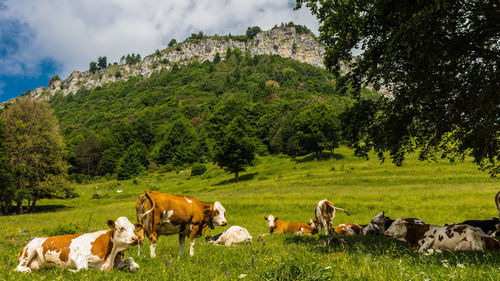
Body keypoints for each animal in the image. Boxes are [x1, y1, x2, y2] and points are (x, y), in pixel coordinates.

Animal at [13, 217, 142, 274]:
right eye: (121, 228)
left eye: (134, 229)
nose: (135, 239)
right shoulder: (76, 255)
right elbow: (83, 268)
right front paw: (66, 269)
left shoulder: (114, 264)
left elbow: (132, 260)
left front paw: (132, 267)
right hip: (29, 250)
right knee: (19, 268)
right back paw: (26, 270)